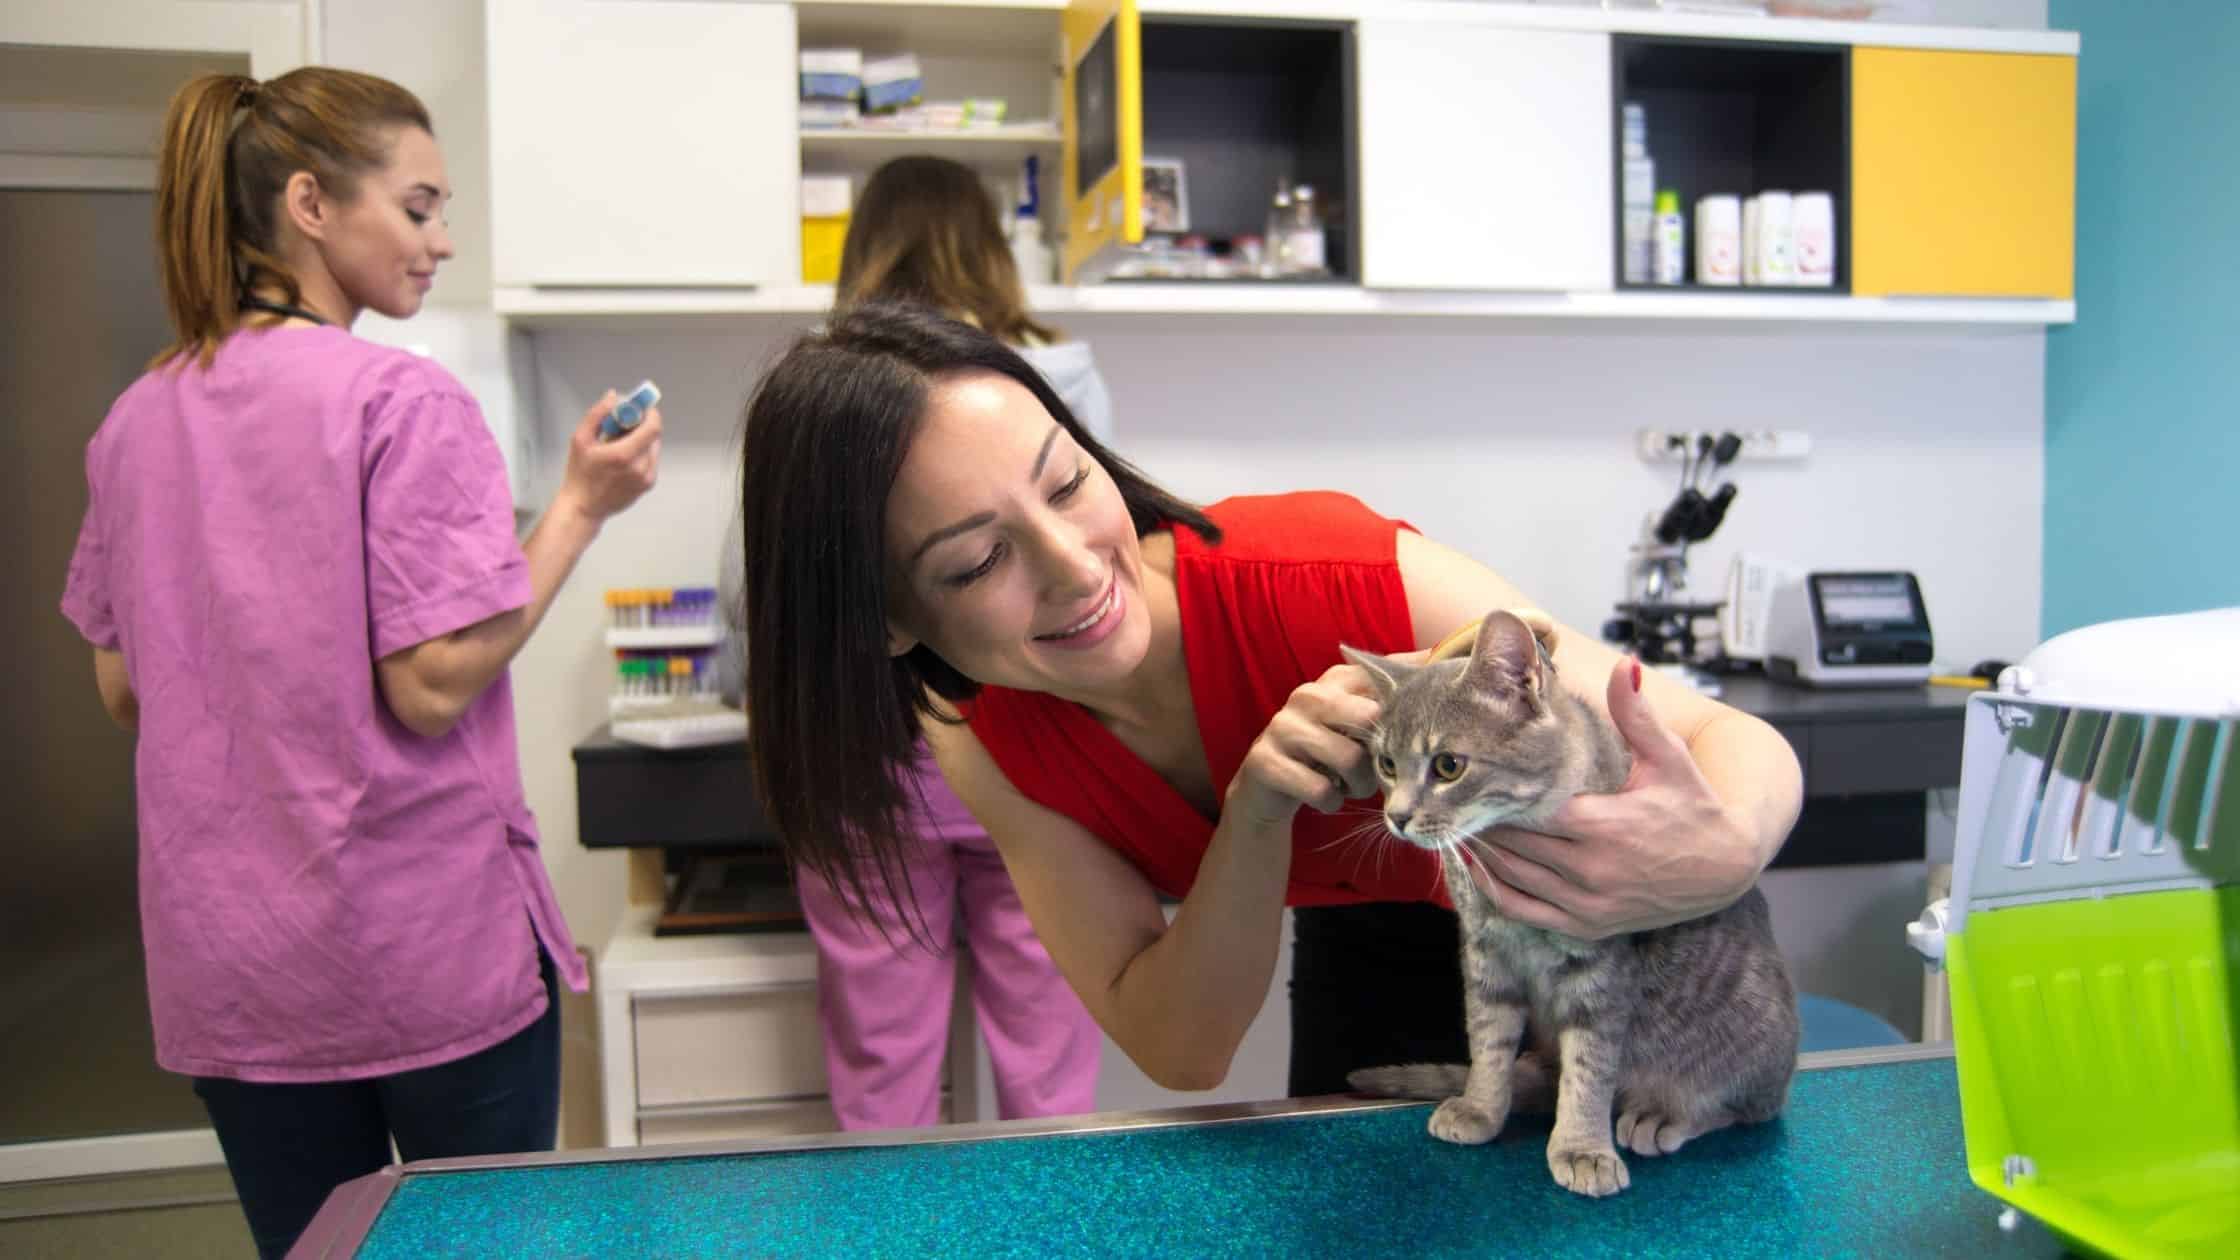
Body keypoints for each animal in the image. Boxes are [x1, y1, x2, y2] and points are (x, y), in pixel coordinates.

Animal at [1335, 609, 1792, 1192]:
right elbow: (1488, 1038)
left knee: (1745, 1105)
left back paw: (1665, 1112)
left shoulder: (1600, 963)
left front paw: (1582, 1146)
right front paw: (1482, 1106)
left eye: (1448, 766)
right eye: (1387, 764)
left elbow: (1590, 1065)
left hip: (1750, 1046)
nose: (1396, 816)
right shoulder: (1485, 953)